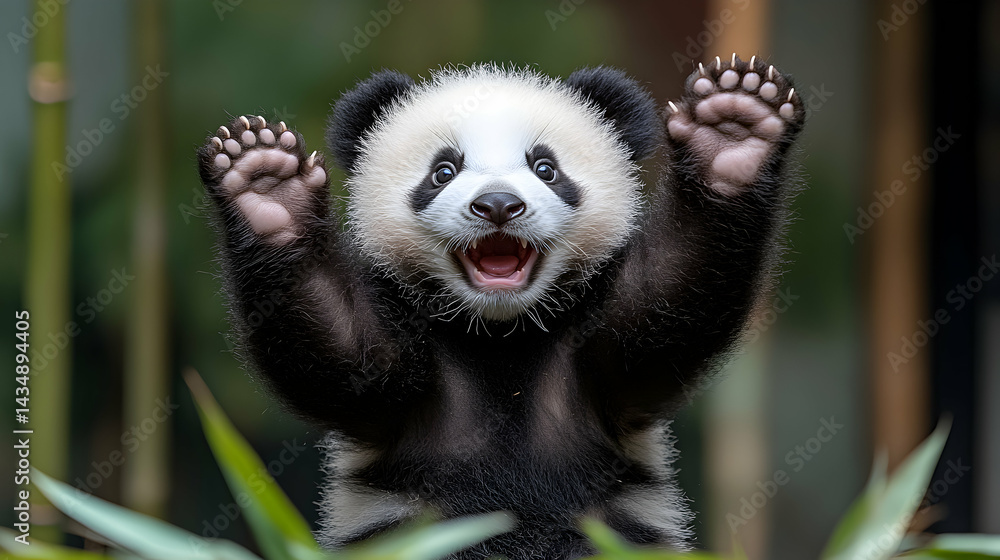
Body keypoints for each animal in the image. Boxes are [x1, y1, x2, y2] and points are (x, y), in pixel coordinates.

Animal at [197, 56, 804, 559]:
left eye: (545, 168)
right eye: (443, 170)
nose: (496, 205)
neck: (500, 333)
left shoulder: (593, 362)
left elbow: (668, 302)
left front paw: (733, 132)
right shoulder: (409, 376)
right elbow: (341, 353)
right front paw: (268, 186)